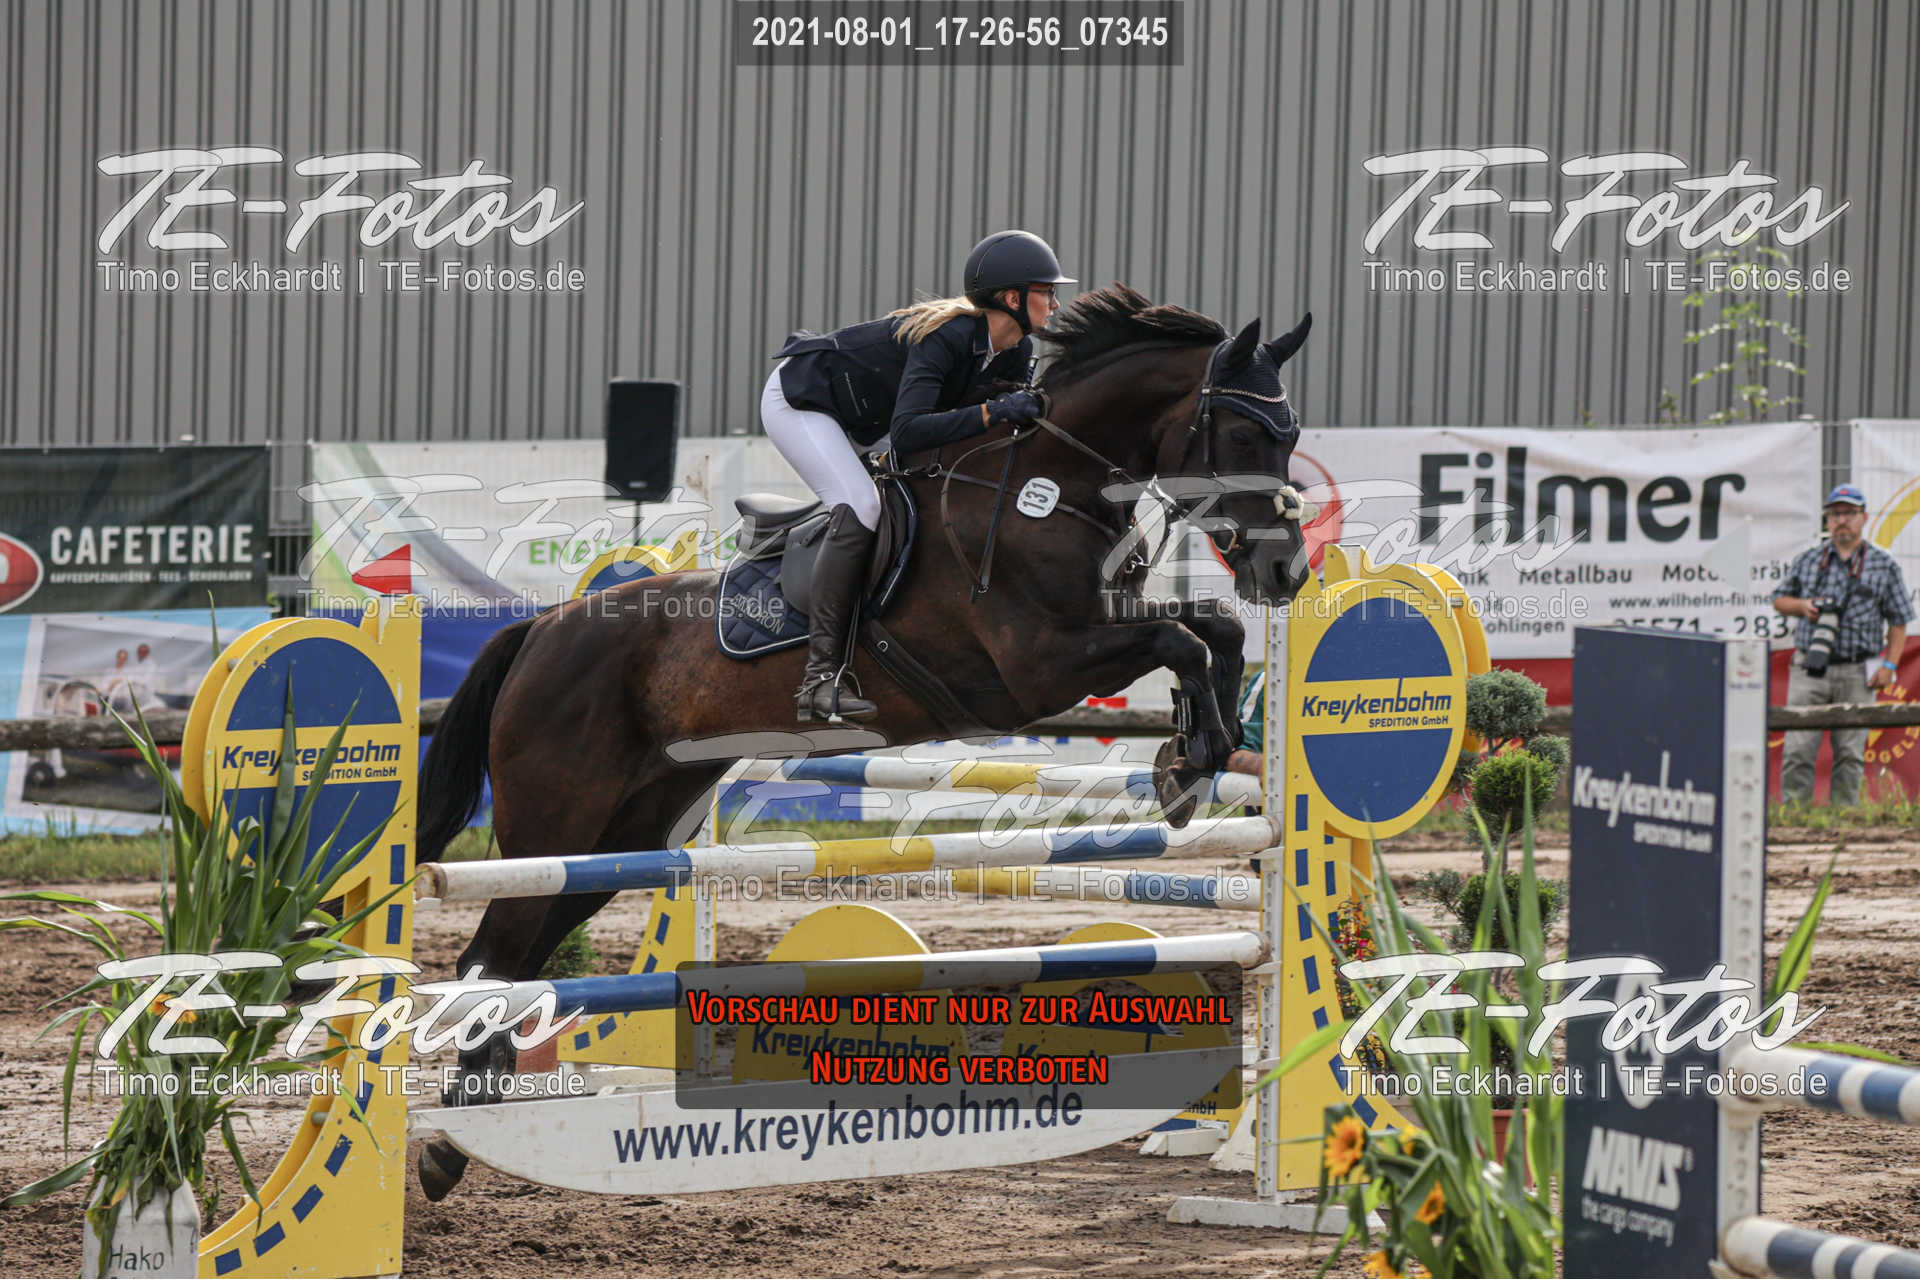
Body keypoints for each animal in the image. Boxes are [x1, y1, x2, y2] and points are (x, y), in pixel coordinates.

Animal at [412, 284, 1316, 1199]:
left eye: (1290, 435)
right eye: (1244, 435)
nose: (1286, 570)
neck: (1049, 487)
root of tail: (541, 628)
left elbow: (1212, 627)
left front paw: (1194, 755)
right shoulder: (1037, 668)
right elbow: (1184, 638)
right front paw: (1192, 757)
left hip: (628, 833)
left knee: (523, 956)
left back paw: (467, 1131)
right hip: (555, 823)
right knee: (490, 955)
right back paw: (450, 1140)